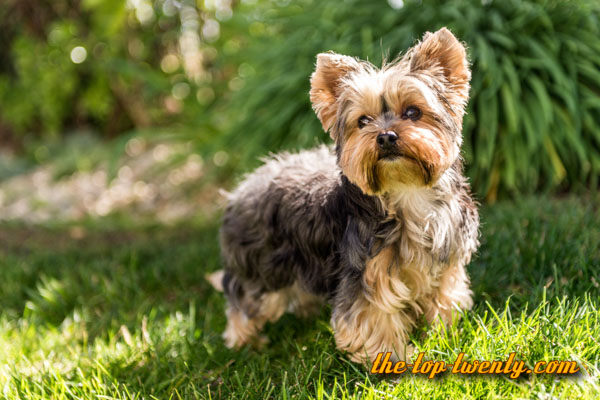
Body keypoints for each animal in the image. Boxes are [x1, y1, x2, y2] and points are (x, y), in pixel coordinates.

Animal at [209, 28, 480, 362]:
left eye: (413, 112)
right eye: (363, 121)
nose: (385, 137)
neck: (406, 192)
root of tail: (241, 189)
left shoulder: (446, 262)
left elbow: (444, 297)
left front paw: (442, 335)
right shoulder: (365, 272)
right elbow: (374, 317)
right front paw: (394, 360)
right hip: (261, 265)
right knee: (244, 299)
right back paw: (245, 343)